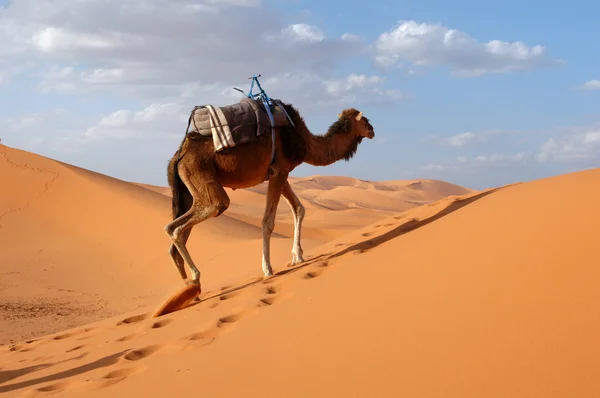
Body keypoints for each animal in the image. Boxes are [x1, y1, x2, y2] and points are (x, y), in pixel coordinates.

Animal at [164, 101, 376, 290]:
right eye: (365, 121)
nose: (373, 131)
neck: (304, 140)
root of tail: (178, 155)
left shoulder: (281, 172)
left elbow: (299, 208)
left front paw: (297, 256)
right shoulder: (279, 171)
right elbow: (268, 222)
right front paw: (267, 269)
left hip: (186, 188)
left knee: (178, 230)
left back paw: (188, 290)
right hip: (200, 174)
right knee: (183, 223)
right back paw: (195, 278)